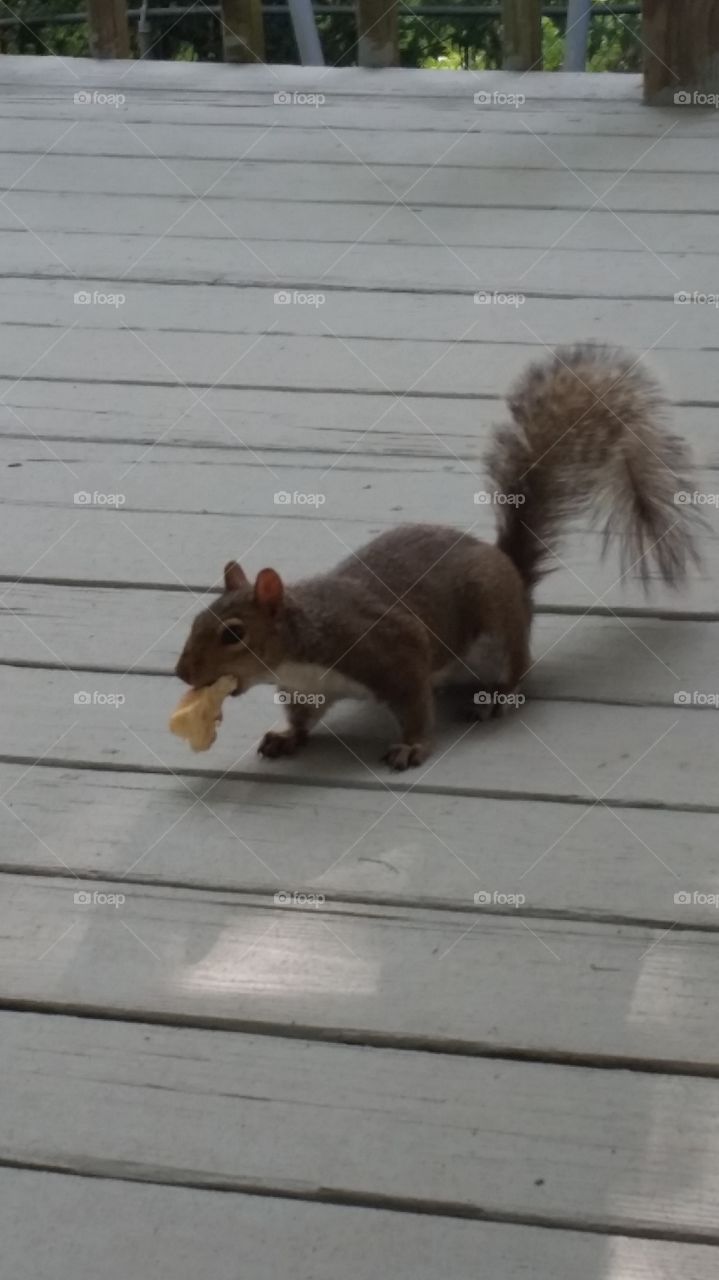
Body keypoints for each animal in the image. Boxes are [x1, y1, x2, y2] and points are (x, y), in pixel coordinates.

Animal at [175, 344, 700, 771]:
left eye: (233, 634)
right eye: (196, 619)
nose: (181, 673)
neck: (300, 649)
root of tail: (512, 575)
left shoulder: (390, 650)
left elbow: (414, 705)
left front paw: (412, 747)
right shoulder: (308, 686)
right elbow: (303, 716)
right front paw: (287, 736)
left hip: (498, 624)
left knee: (519, 666)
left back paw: (498, 696)